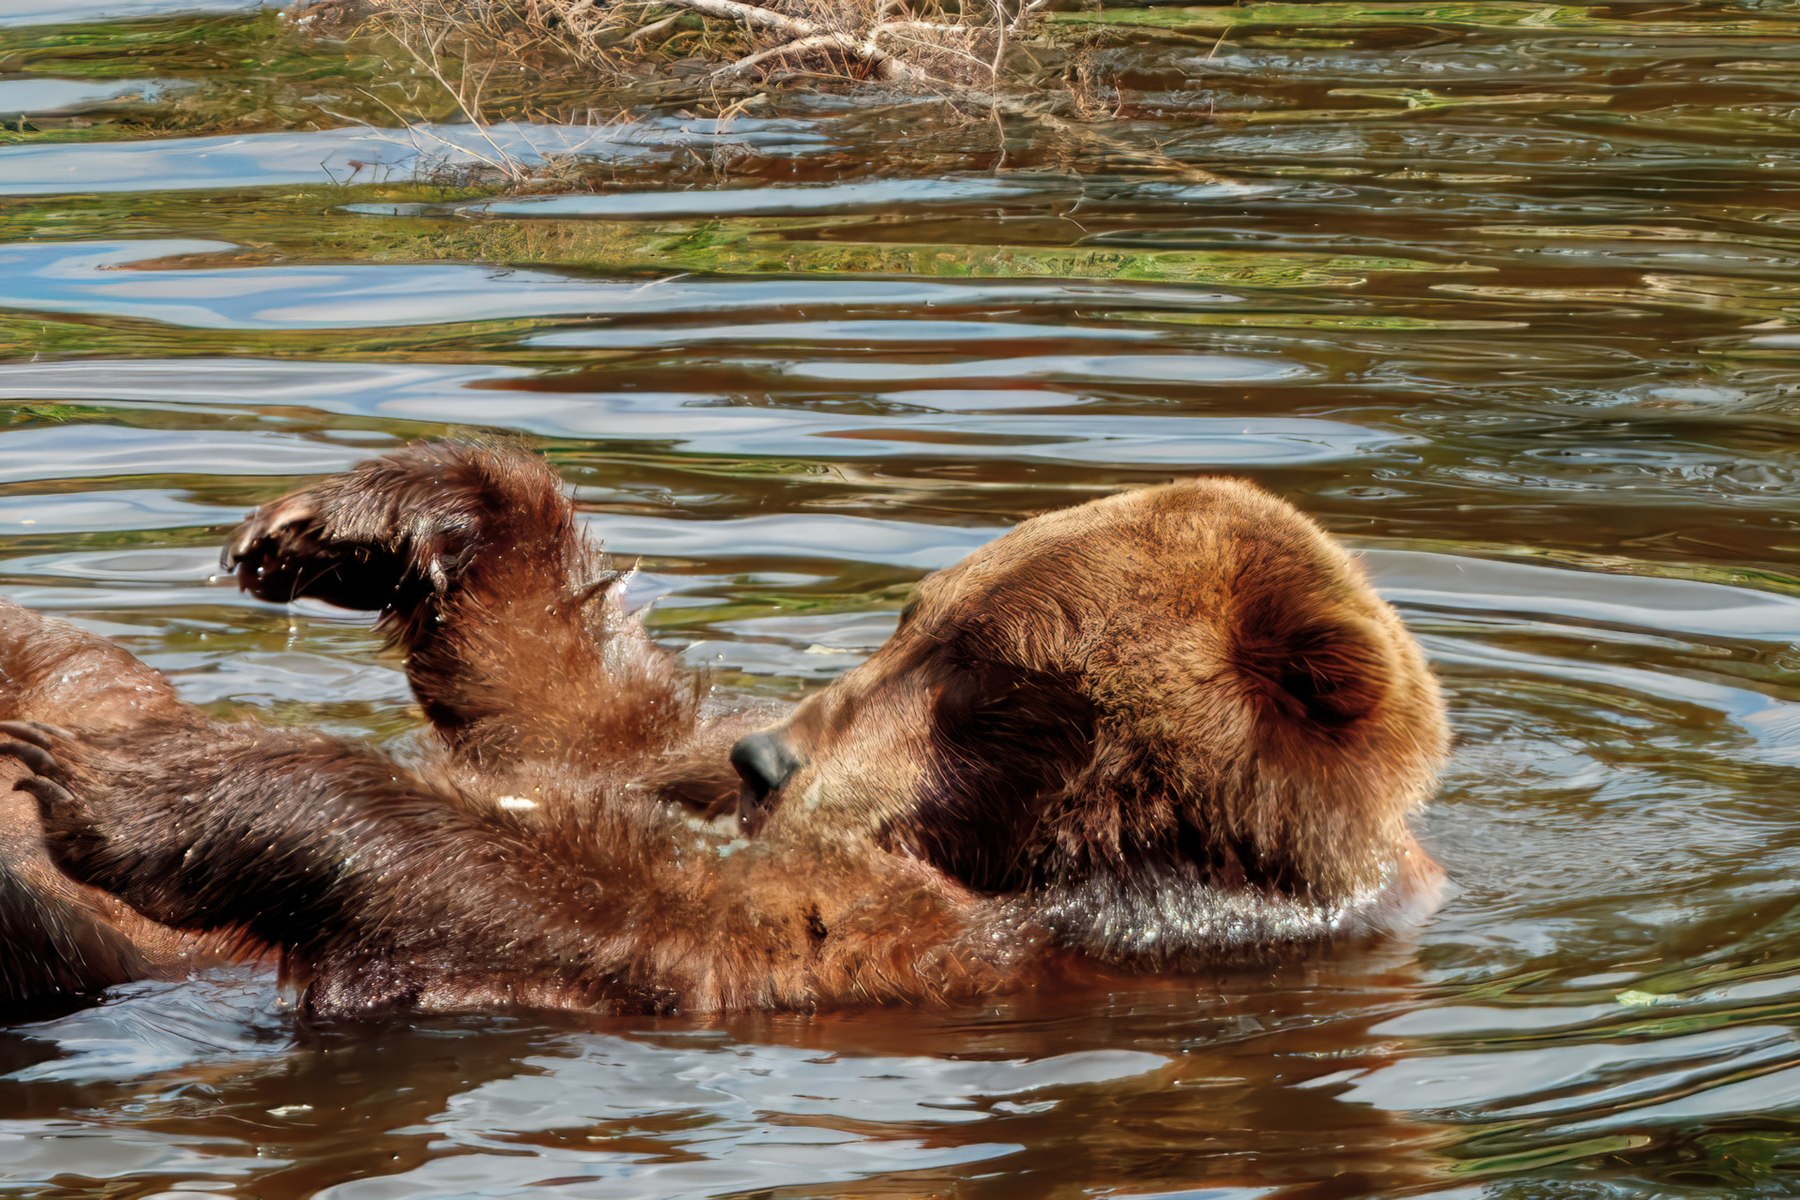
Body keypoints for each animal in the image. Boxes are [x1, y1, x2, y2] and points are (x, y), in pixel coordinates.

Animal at [0, 439, 1449, 1019]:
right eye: (913, 615)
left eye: (989, 676)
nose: (771, 758)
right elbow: (582, 725)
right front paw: (365, 520)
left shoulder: (1038, 939)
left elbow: (684, 925)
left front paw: (161, 788)